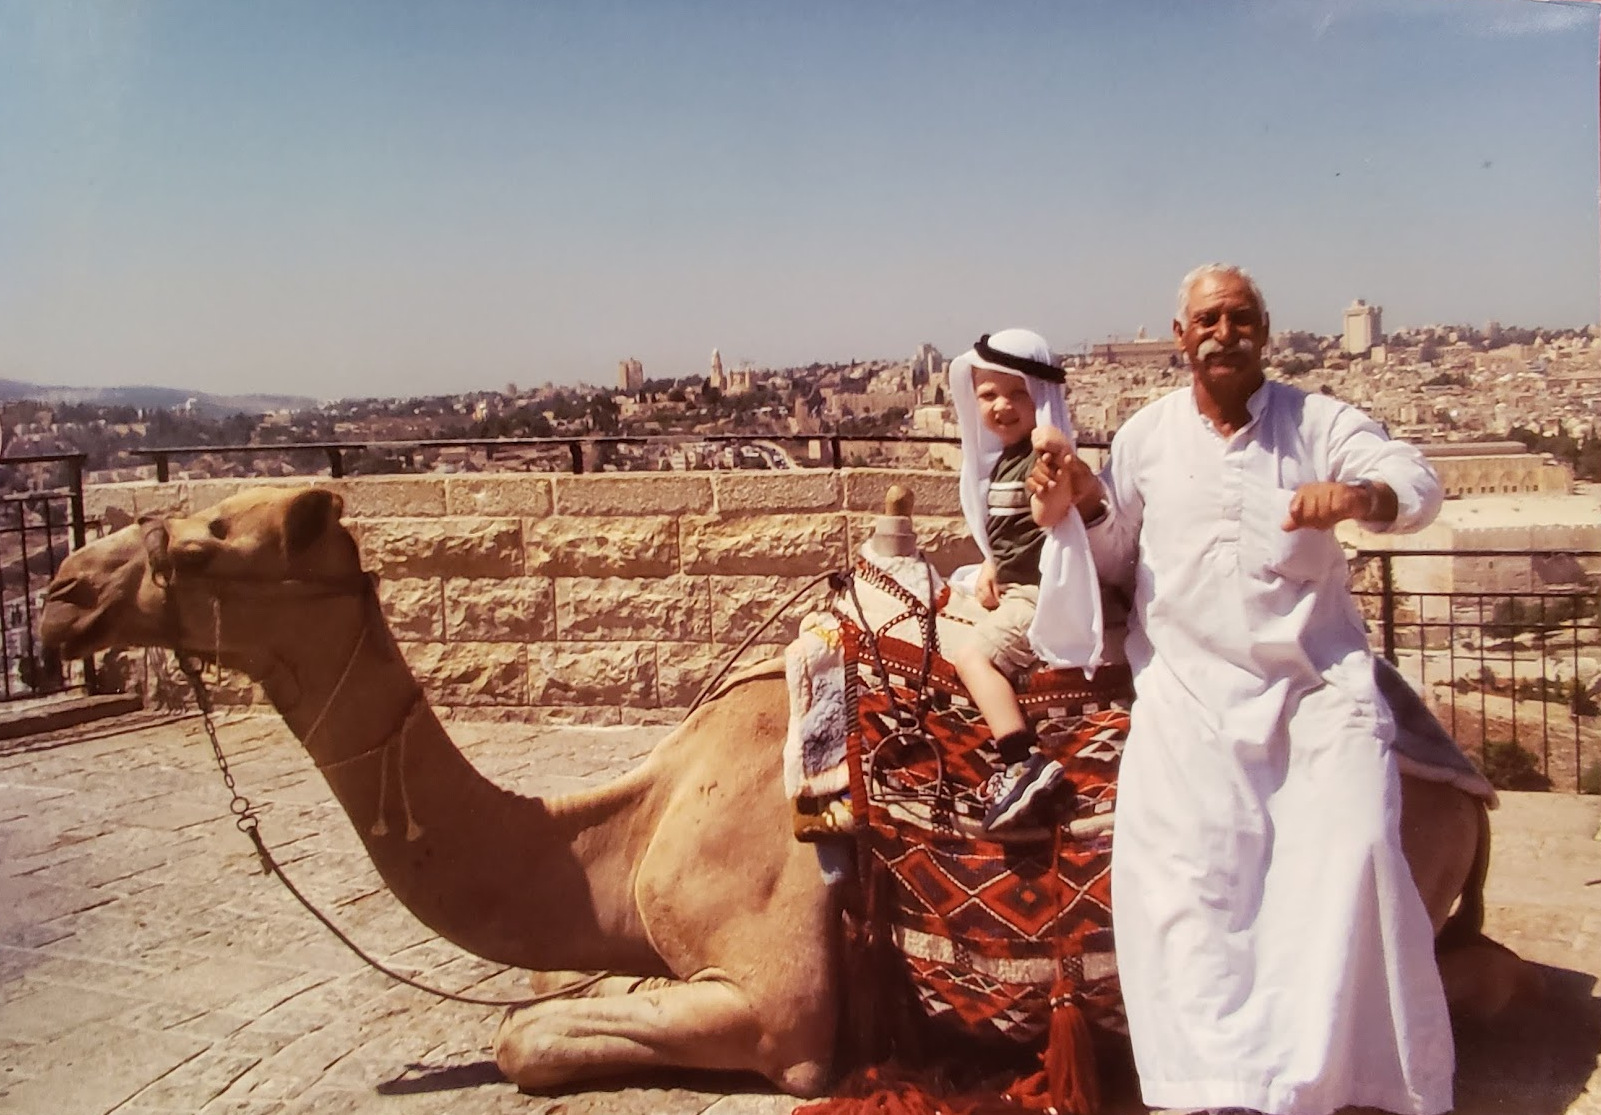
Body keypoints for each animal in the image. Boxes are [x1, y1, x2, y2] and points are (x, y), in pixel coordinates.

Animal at [37, 487, 1530, 1095]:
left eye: (201, 540)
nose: (58, 590)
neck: (632, 825)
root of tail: (1456, 770)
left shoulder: (781, 1005)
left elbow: (531, 1040)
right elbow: (555, 994)